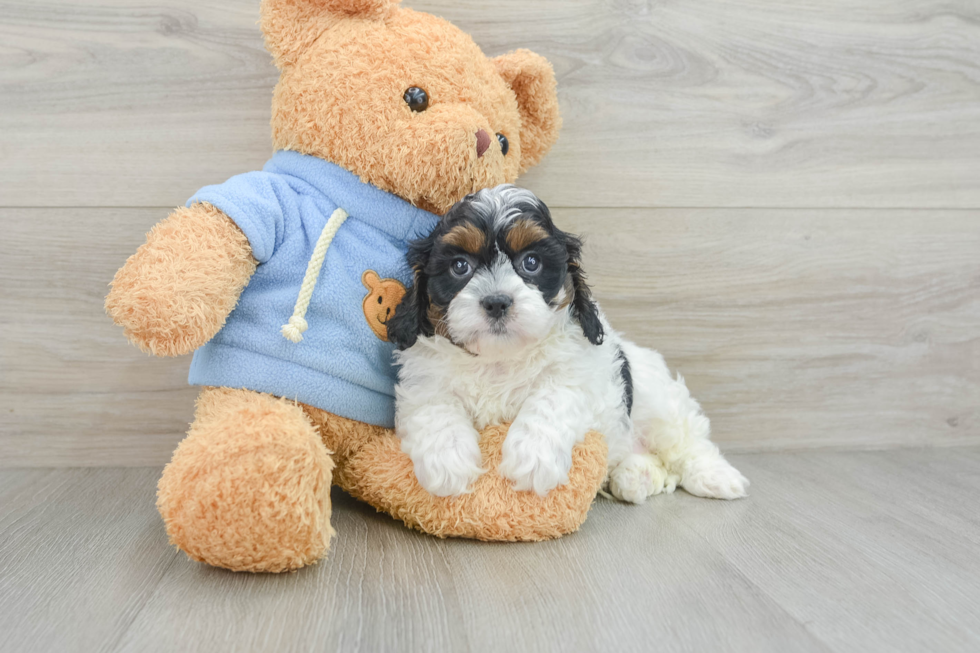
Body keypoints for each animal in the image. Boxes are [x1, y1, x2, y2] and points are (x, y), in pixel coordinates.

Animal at [386, 186, 748, 502]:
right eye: (460, 266)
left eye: (531, 262)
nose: (497, 302)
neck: (498, 359)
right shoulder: (423, 382)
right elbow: (435, 409)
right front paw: (448, 461)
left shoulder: (579, 373)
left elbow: (551, 399)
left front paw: (533, 458)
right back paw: (636, 477)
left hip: (661, 403)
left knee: (688, 441)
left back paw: (717, 477)